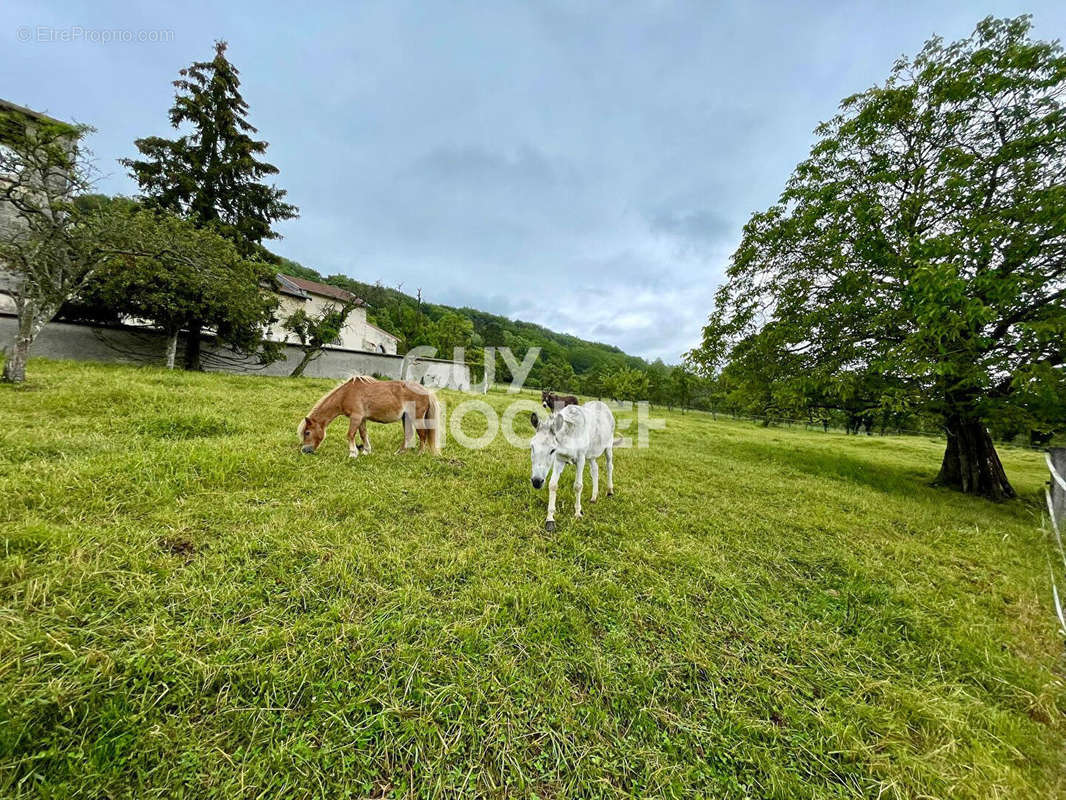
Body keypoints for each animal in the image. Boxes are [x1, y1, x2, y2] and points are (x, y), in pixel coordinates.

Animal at [298, 375, 439, 456]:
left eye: (307, 432)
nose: (304, 451)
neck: (346, 394)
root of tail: (426, 391)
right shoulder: (362, 419)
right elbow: (363, 434)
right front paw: (366, 451)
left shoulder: (356, 417)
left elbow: (350, 435)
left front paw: (353, 453)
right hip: (406, 418)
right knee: (409, 436)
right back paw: (399, 453)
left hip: (417, 418)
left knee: (423, 435)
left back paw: (419, 454)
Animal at [530, 401, 618, 533]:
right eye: (532, 447)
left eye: (552, 450)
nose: (536, 482)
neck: (569, 436)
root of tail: (601, 403)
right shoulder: (559, 460)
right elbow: (552, 485)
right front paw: (550, 519)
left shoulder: (581, 459)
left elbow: (578, 486)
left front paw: (577, 513)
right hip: (591, 454)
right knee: (595, 470)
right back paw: (594, 497)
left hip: (608, 447)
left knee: (609, 466)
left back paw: (610, 490)